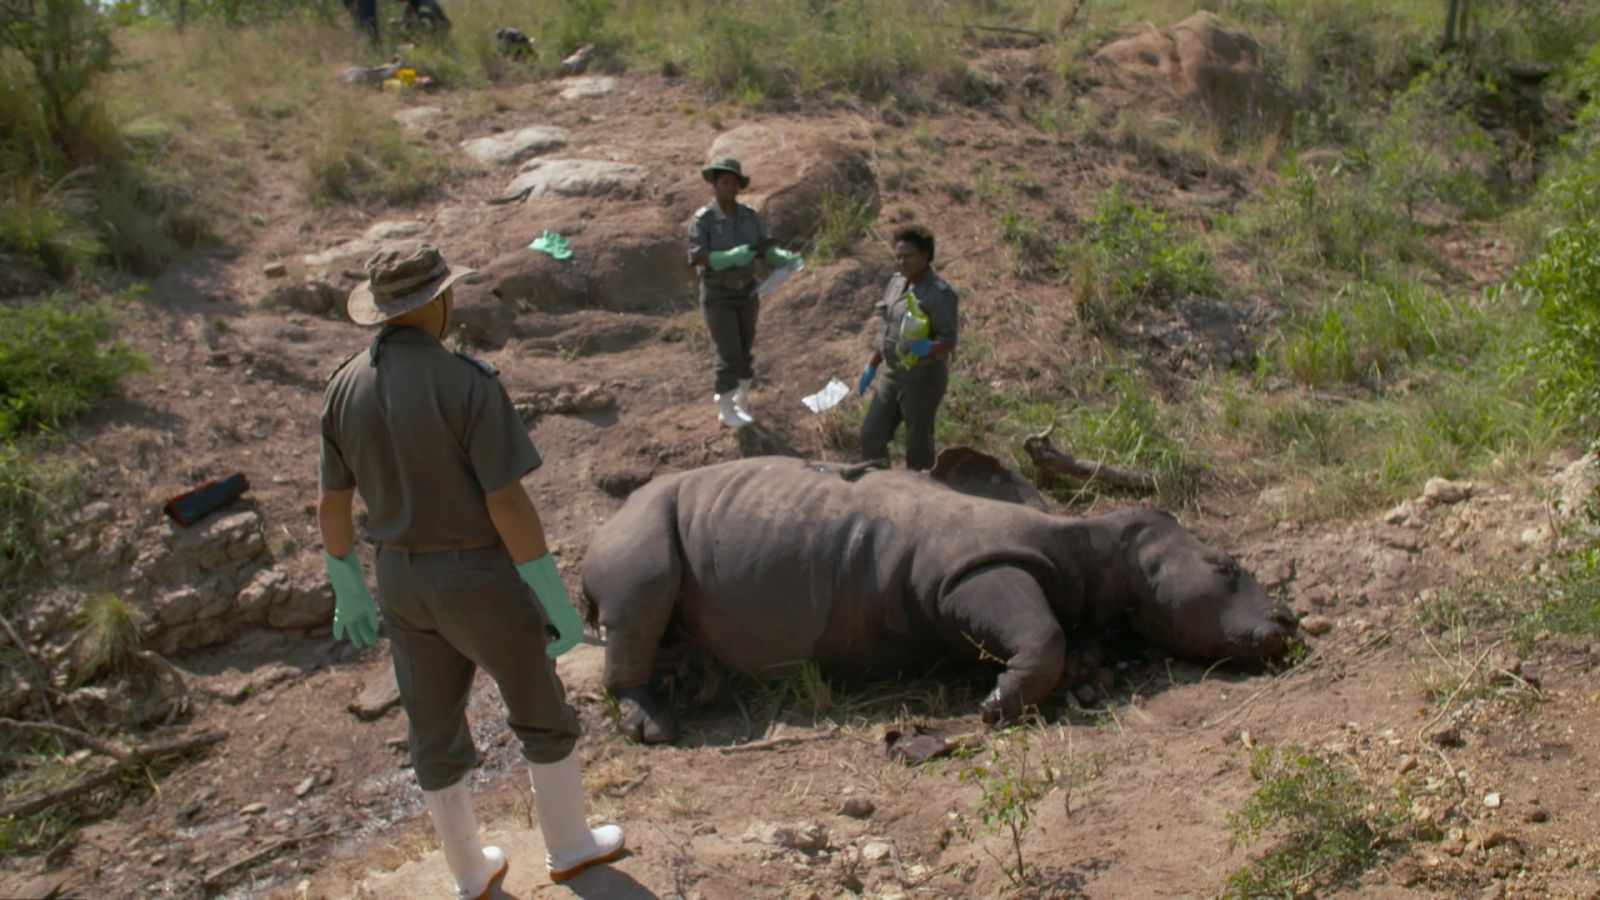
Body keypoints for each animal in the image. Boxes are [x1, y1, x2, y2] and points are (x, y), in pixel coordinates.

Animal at [582, 451, 1292, 739]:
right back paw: (658, 728)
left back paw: (693, 681)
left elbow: (1070, 640)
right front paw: (996, 707)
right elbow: (1042, 634)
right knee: (640, 586)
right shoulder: (963, 573)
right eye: (1226, 568)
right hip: (640, 523)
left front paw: (1084, 672)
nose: (1286, 627)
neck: (1099, 546)